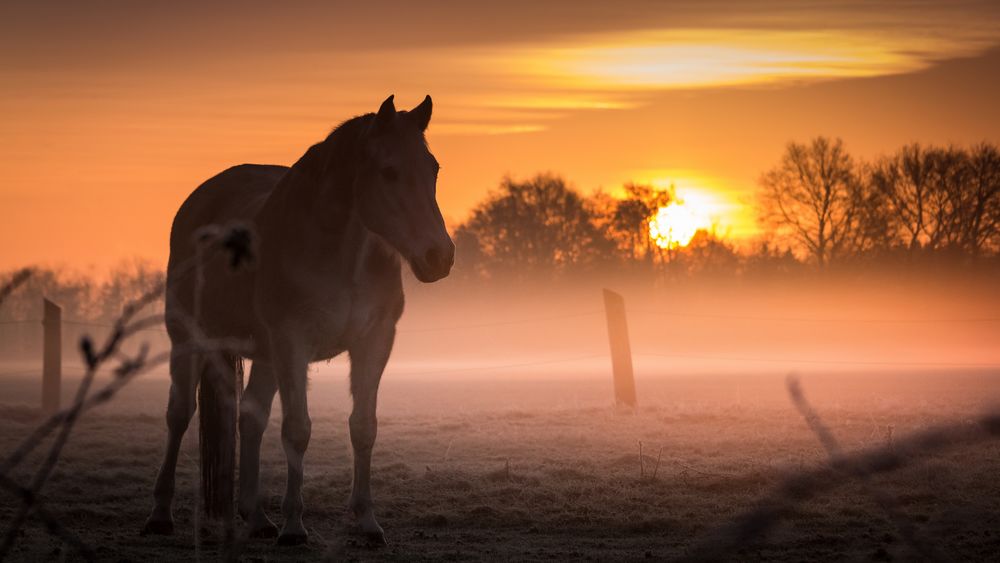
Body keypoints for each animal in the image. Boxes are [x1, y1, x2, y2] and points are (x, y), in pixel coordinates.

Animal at [141, 95, 454, 545]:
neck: (341, 256)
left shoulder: (374, 342)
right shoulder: (293, 343)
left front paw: (367, 521)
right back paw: (160, 515)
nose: (439, 257)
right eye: (389, 171)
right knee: (179, 414)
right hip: (190, 340)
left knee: (250, 418)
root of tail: (198, 201)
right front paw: (294, 526)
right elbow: (297, 429)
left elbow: (364, 427)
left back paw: (256, 518)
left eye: (433, 169)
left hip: (265, 356)